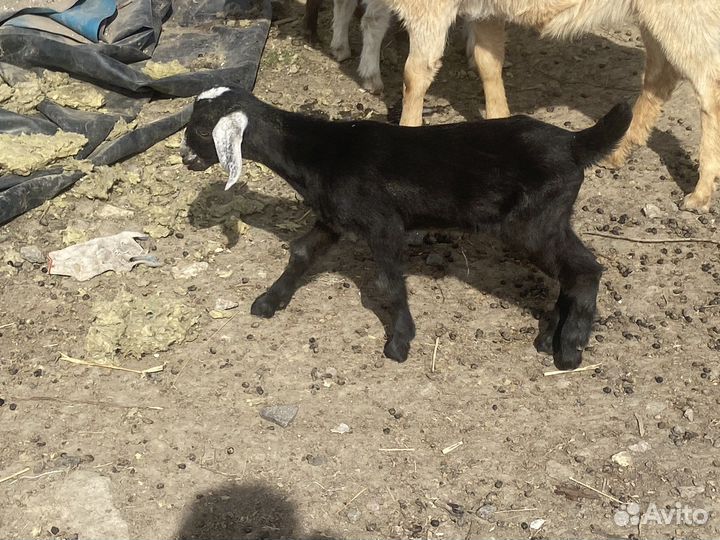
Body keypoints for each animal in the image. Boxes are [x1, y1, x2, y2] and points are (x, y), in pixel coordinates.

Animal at [181, 86, 632, 370]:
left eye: (203, 130)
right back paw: (549, 336)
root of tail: (574, 143)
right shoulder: (334, 218)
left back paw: (571, 348)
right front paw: (268, 302)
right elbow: (302, 253)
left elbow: (388, 283)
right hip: (551, 222)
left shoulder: (383, 225)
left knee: (585, 270)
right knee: (574, 270)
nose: (185, 159)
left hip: (531, 224)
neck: (318, 151)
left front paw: (399, 342)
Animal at [326, 0, 720, 212]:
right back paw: (620, 151)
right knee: (660, 75)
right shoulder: (483, 11)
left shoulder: (430, 10)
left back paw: (700, 192)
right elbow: (488, 63)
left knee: (709, 88)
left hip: (690, 15)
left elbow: (414, 75)